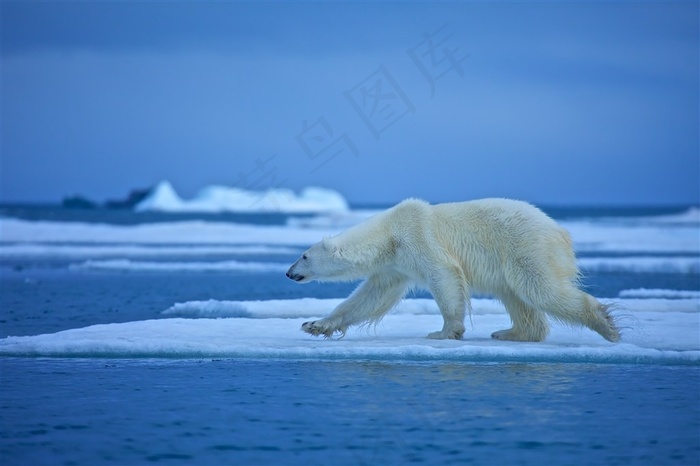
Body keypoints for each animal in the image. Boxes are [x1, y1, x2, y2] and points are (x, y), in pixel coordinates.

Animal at [284, 198, 616, 342]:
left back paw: (606, 325)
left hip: (526, 247)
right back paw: (510, 332)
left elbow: (443, 275)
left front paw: (444, 331)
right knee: (516, 296)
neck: (389, 234)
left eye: (303, 255)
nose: (288, 273)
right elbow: (371, 297)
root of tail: (560, 231)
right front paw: (315, 325)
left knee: (540, 288)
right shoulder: (395, 264)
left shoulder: (418, 237)